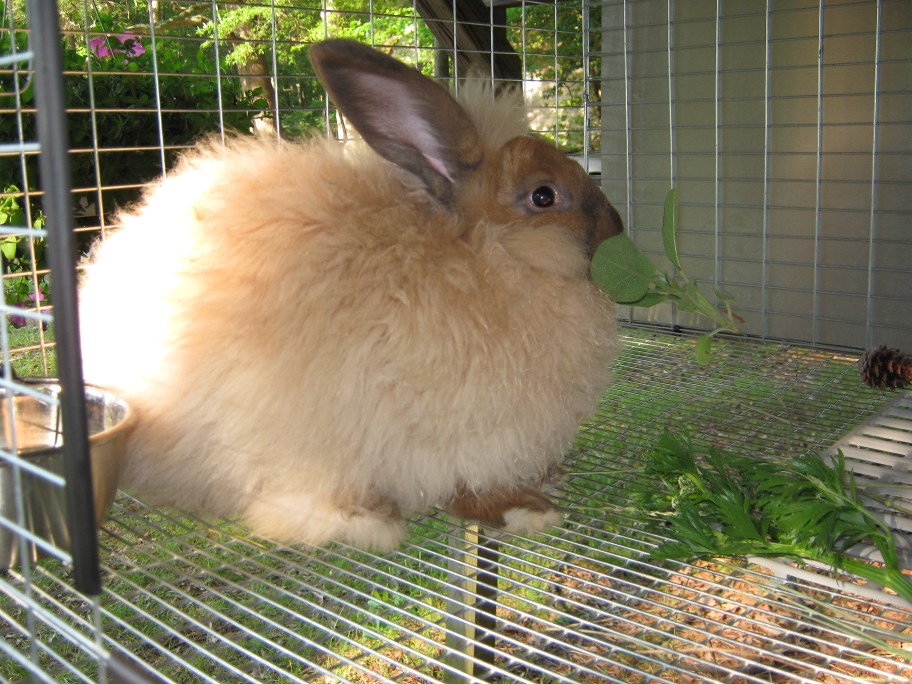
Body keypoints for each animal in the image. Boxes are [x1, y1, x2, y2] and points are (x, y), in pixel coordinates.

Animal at [77, 39, 623, 551]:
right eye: (544, 196)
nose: (617, 226)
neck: (484, 250)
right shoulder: (459, 434)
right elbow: (471, 488)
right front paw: (528, 510)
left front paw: (544, 482)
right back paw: (369, 520)